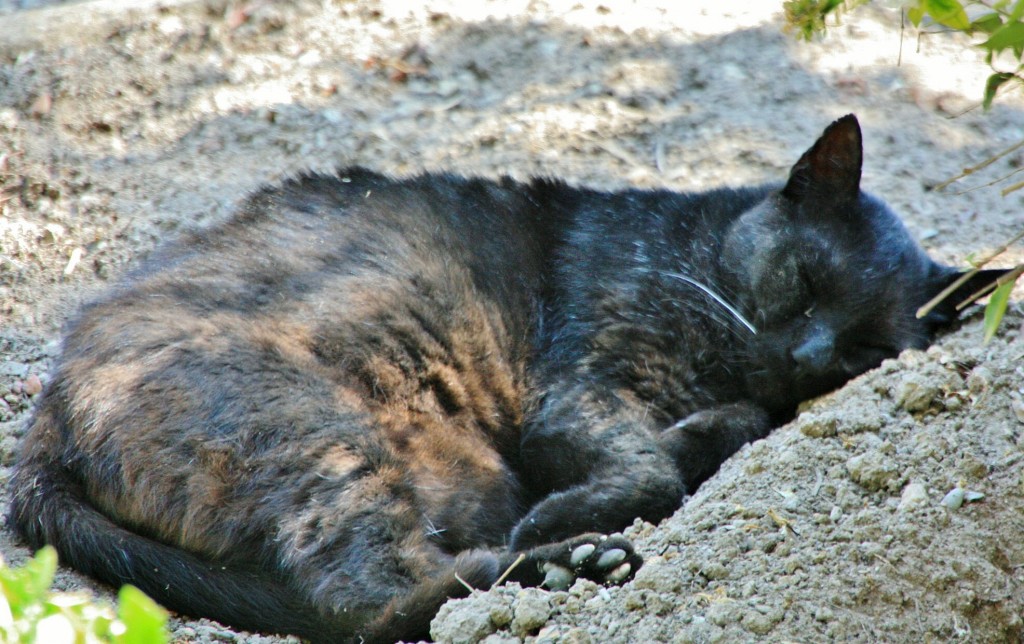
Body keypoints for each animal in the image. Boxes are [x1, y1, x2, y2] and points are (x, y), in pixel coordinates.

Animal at [8, 116, 999, 642]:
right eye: (803, 281)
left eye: (865, 348)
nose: (807, 357)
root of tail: (45, 426)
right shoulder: (578, 388)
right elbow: (648, 465)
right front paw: (576, 509)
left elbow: (717, 431)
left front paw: (701, 434)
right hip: (320, 435)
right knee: (369, 600)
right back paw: (564, 561)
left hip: (450, 473)